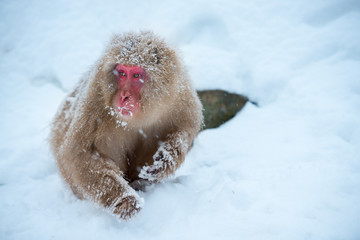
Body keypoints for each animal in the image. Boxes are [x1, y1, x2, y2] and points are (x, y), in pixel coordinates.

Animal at [48, 31, 202, 219]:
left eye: (136, 76)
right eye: (121, 73)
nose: (123, 96)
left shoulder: (180, 92)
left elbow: (184, 129)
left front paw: (165, 159)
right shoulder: (95, 95)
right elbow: (81, 153)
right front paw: (124, 200)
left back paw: (142, 183)